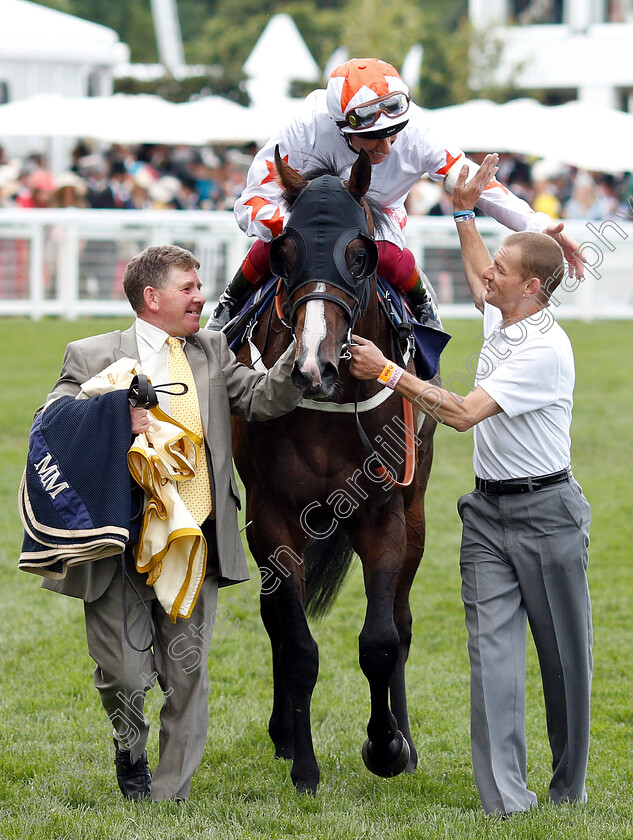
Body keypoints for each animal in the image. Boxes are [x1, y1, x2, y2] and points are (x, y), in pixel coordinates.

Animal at [232, 146, 440, 796]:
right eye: (285, 253)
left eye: (360, 253)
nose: (312, 367)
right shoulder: (272, 516)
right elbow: (297, 644)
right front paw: (304, 764)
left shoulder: (384, 511)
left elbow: (381, 640)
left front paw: (387, 747)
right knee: (277, 622)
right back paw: (283, 734)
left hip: (417, 514)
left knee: (402, 622)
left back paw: (407, 739)